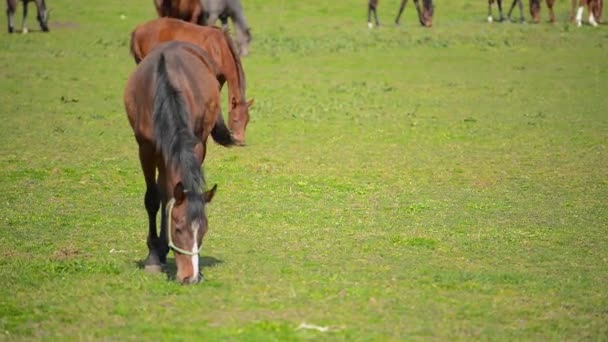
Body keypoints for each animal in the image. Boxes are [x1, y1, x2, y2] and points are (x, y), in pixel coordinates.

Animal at [124, 40, 236, 284]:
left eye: (204, 230)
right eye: (178, 228)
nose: (190, 277)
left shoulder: (195, 145)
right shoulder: (145, 149)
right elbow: (152, 199)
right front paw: (153, 257)